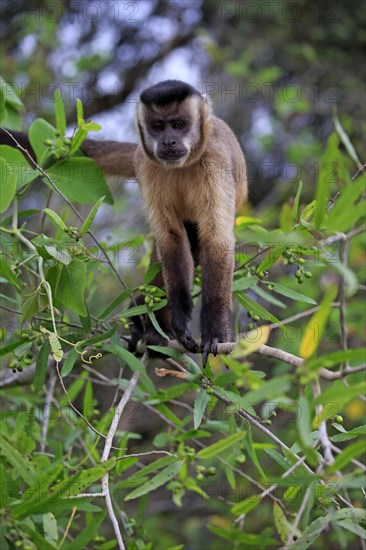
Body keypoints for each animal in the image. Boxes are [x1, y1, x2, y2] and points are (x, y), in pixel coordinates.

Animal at [0, 80, 246, 364]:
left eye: (179, 124)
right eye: (158, 127)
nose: (169, 141)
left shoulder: (215, 161)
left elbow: (216, 239)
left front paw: (215, 330)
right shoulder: (146, 165)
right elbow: (170, 238)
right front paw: (179, 321)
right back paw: (149, 327)